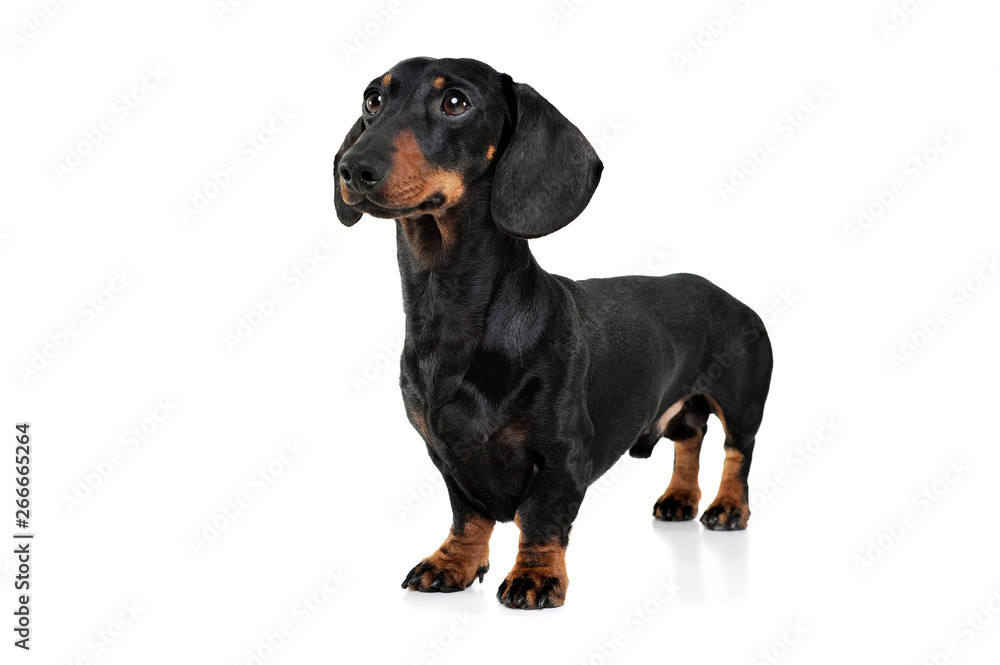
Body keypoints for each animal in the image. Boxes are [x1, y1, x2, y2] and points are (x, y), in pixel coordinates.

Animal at [336, 57, 772, 608]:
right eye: (373, 100)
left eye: (456, 102)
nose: (353, 167)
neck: (449, 312)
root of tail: (729, 294)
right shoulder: (444, 454)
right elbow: (468, 514)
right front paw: (453, 563)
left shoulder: (564, 452)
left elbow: (541, 517)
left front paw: (536, 575)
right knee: (690, 438)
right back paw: (679, 499)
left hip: (742, 400)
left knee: (738, 452)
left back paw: (728, 508)